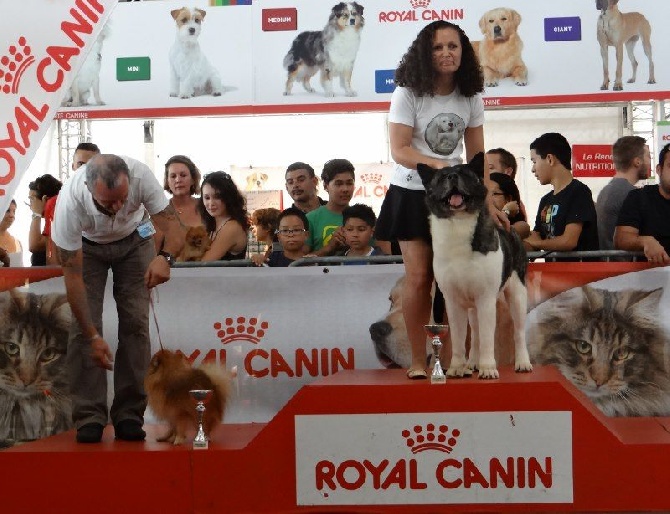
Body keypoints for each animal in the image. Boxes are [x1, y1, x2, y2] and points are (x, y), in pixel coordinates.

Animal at [420, 152, 536, 376]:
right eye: (442, 177)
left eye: (465, 174)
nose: (452, 177)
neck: (458, 225)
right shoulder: (453, 301)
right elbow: (458, 338)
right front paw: (456, 367)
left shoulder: (486, 298)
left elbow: (487, 338)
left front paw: (488, 369)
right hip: (472, 306)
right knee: (474, 334)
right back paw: (471, 363)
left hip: (517, 294)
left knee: (518, 331)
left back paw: (523, 362)